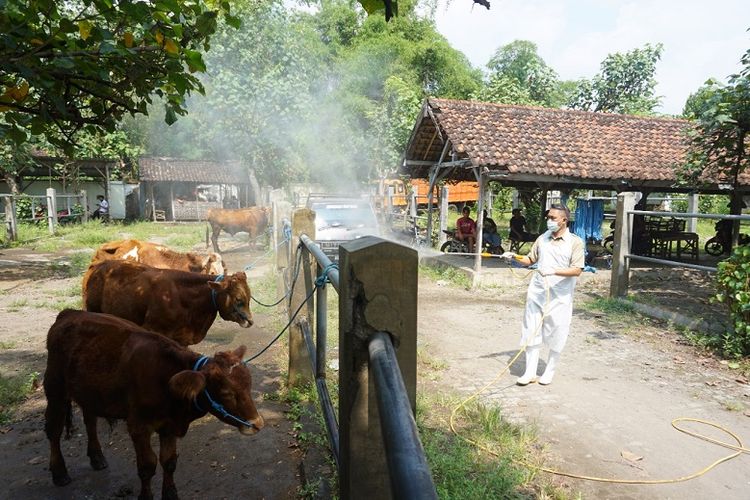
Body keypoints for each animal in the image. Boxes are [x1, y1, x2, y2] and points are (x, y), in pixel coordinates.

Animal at [44, 308, 264, 500]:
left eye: (249, 384)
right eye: (227, 393)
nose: (257, 423)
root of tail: (70, 313)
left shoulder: (169, 426)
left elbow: (169, 462)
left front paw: (171, 494)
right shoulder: (138, 426)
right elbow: (147, 466)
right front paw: (145, 495)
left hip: (89, 392)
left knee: (90, 421)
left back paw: (97, 457)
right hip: (55, 388)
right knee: (54, 430)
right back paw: (59, 472)